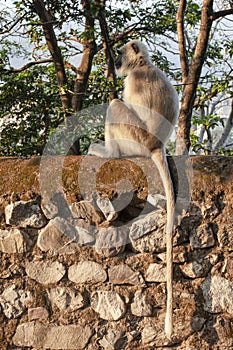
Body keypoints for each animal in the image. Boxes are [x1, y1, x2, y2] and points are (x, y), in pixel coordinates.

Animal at [88, 40, 179, 340]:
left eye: (119, 54)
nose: (115, 62)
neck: (144, 66)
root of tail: (155, 145)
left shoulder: (134, 81)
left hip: (134, 139)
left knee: (117, 105)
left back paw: (108, 152)